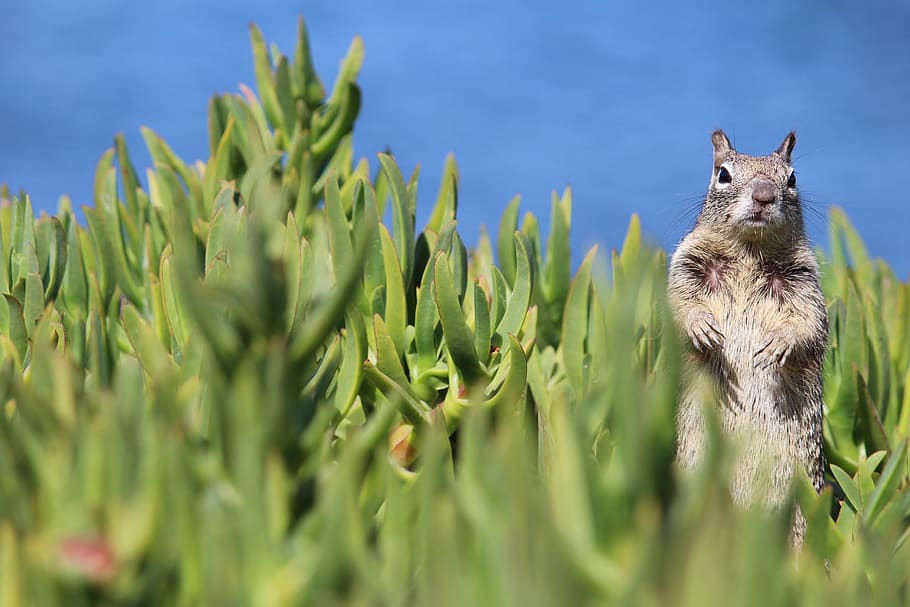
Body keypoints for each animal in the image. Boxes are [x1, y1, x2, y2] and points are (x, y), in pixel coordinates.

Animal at [668, 129, 827, 543]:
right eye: (722, 174)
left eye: (792, 178)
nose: (764, 196)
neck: (749, 252)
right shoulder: (685, 266)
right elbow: (679, 304)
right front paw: (701, 327)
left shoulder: (805, 283)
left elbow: (808, 323)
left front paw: (779, 344)